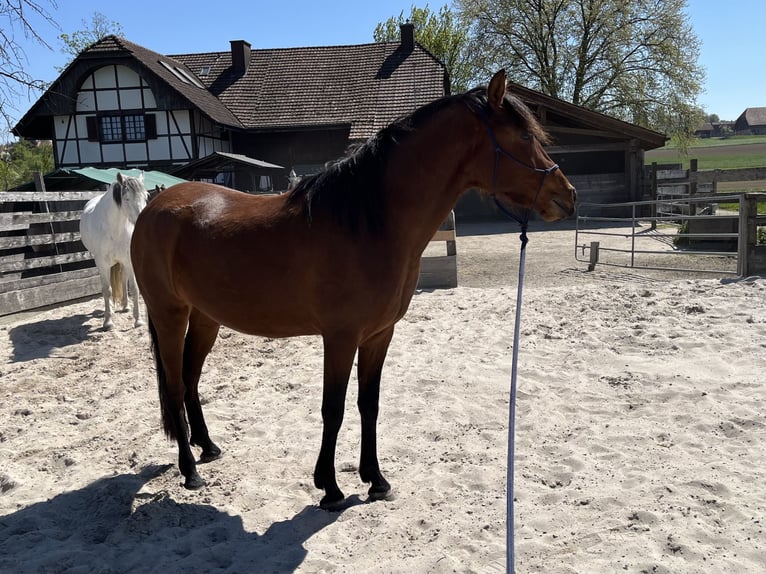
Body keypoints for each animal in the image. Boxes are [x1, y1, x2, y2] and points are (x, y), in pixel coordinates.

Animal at [80, 172, 149, 330]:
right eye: (127, 198)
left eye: (146, 197)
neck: (115, 229)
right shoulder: (102, 263)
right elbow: (107, 290)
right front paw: (108, 322)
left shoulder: (129, 260)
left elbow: (134, 289)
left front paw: (138, 320)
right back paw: (111, 308)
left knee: (123, 279)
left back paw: (126, 306)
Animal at [130, 70, 577, 509]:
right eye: (524, 136)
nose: (567, 196)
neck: (368, 223)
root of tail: (154, 206)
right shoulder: (340, 337)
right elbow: (334, 408)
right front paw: (329, 487)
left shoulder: (378, 335)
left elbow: (368, 404)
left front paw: (375, 479)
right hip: (169, 315)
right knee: (174, 385)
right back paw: (190, 471)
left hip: (206, 317)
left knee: (190, 378)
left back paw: (208, 446)